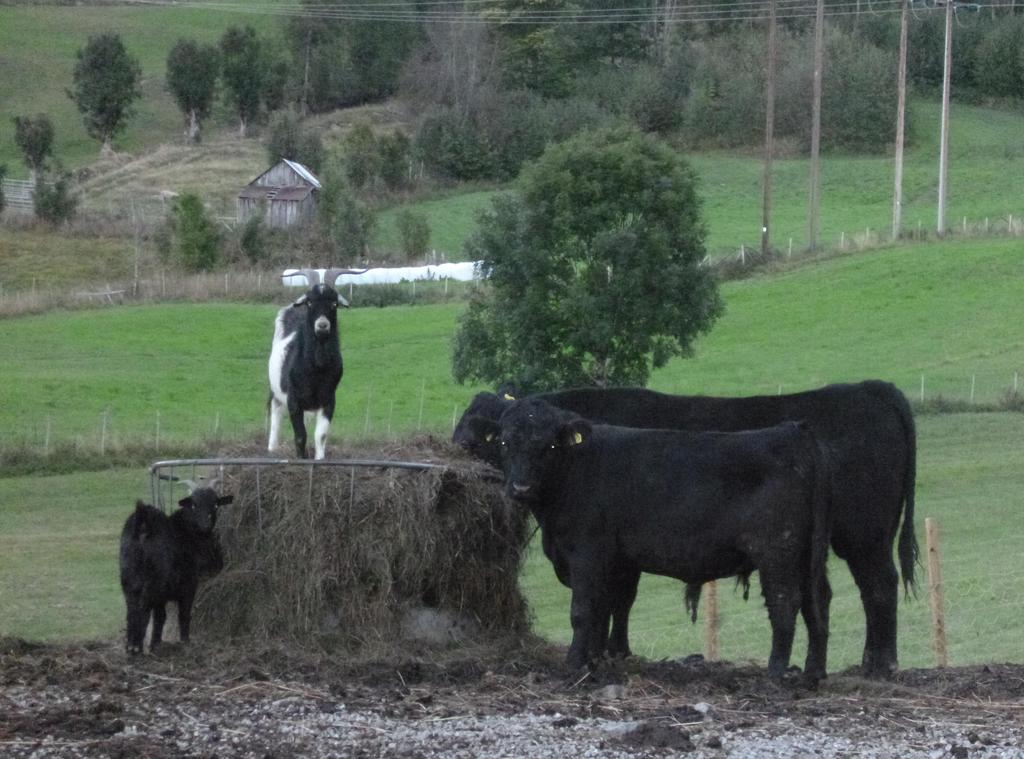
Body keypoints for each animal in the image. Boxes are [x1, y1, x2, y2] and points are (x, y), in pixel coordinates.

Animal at [268, 270, 360, 458]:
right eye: (310, 302)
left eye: (334, 303)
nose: (322, 325)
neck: (316, 368)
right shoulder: (294, 401)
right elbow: (300, 436)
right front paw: (301, 459)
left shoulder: (328, 400)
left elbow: (321, 435)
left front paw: (319, 459)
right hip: (275, 388)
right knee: (274, 409)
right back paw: (272, 448)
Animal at [456, 378, 921, 676]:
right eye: (500, 440)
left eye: (475, 437)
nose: (453, 450)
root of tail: (868, 388)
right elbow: (613, 604)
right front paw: (609, 654)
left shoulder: (600, 552)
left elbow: (606, 604)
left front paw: (603, 655)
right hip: (820, 547)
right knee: (825, 595)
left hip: (861, 536)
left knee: (877, 587)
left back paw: (878, 664)